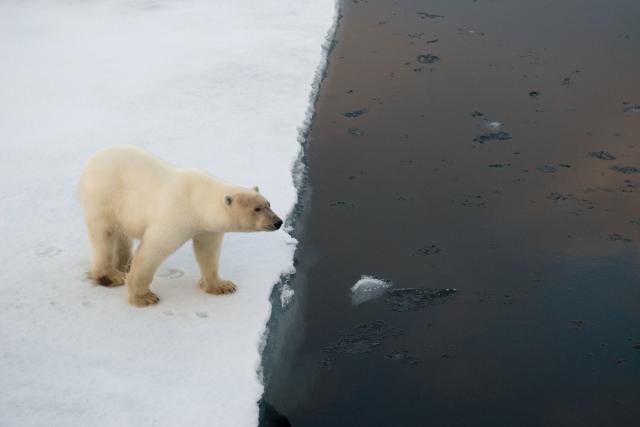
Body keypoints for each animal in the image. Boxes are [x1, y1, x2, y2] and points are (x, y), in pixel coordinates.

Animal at [78, 145, 283, 307]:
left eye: (268, 204)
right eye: (257, 209)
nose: (278, 222)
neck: (197, 198)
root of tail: (92, 160)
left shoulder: (207, 227)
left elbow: (208, 252)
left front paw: (222, 286)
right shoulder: (176, 216)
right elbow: (153, 250)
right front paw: (144, 297)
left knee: (122, 236)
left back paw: (124, 265)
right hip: (103, 196)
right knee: (103, 234)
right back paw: (112, 276)